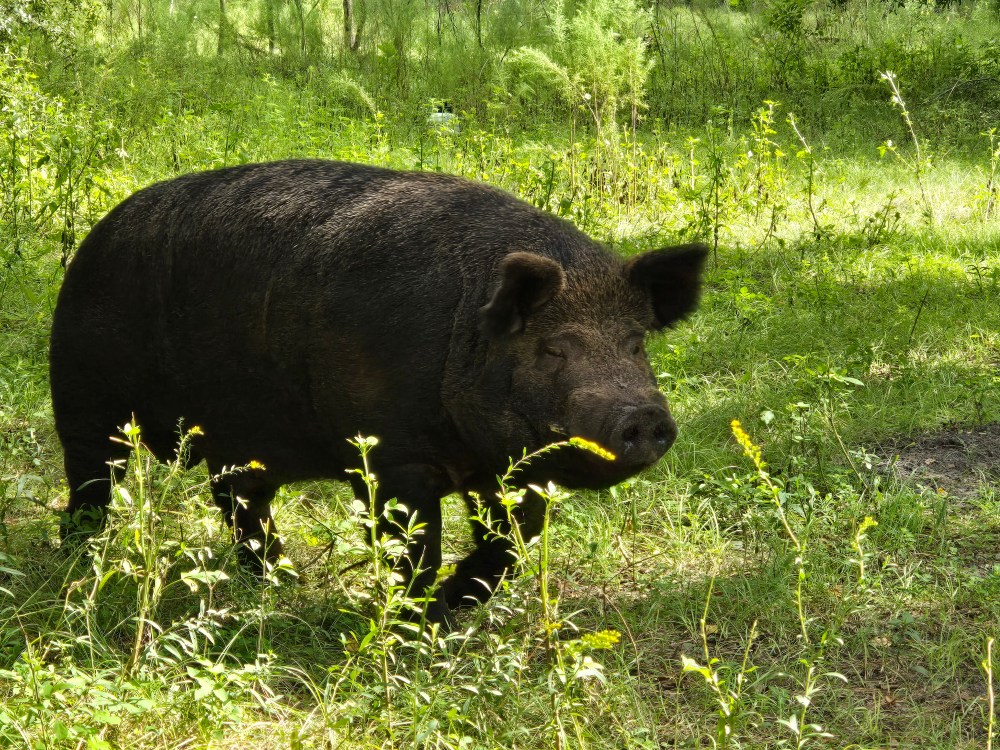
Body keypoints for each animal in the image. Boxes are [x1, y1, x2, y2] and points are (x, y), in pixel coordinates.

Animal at [50, 159, 707, 626]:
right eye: (554, 349)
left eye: (635, 343)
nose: (644, 415)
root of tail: (98, 234)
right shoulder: (394, 457)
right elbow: (415, 551)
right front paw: (415, 623)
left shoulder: (508, 472)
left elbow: (510, 548)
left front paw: (444, 612)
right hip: (82, 390)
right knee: (91, 482)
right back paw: (76, 566)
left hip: (233, 443)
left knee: (239, 502)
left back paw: (281, 582)